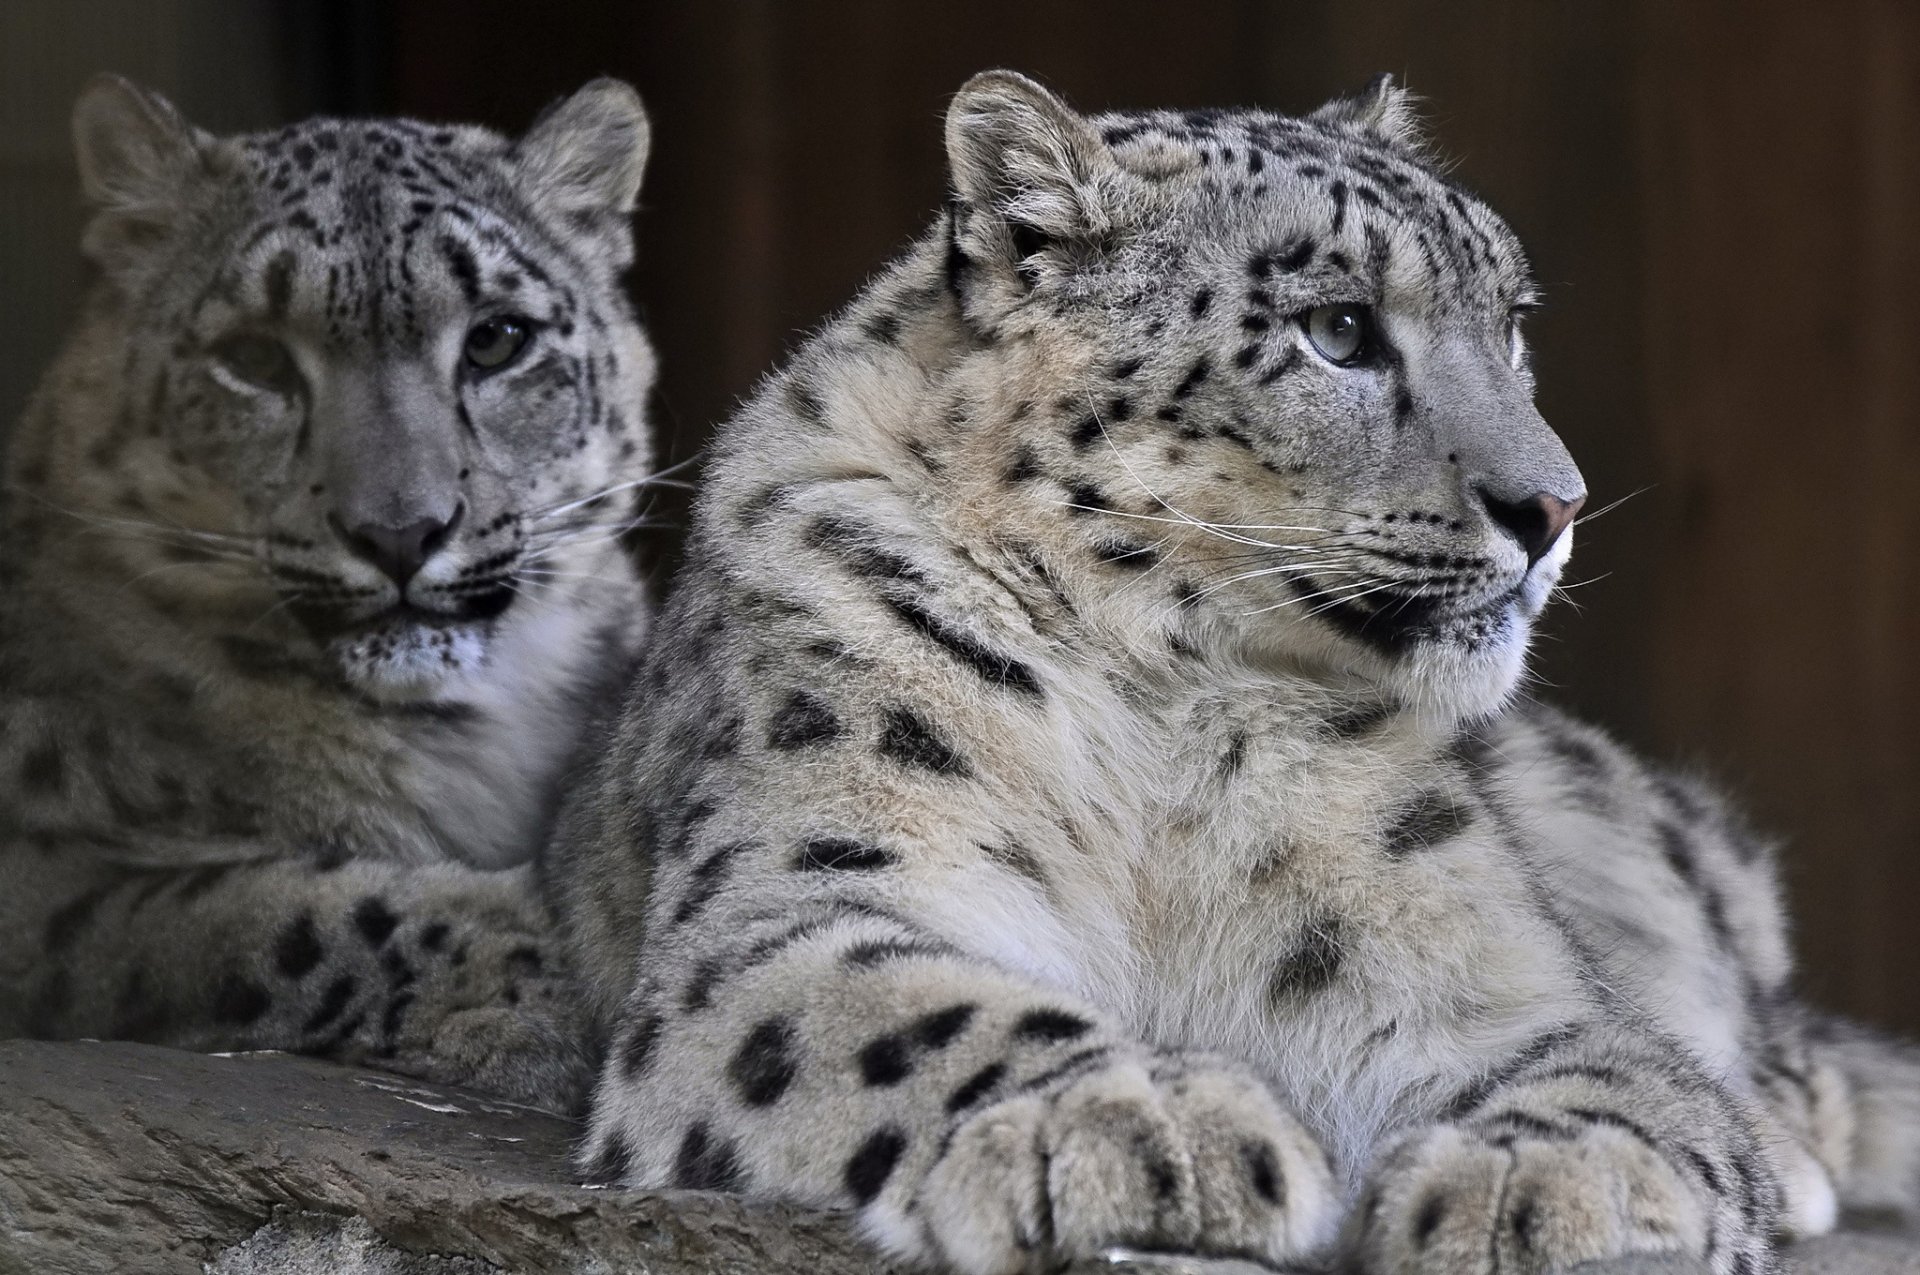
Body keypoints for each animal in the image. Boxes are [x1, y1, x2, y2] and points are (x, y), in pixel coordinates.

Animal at [0, 74, 662, 1113]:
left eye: (497, 338)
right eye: (255, 358)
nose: (401, 531)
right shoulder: (43, 881)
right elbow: (251, 915)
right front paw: (543, 988)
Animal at [545, 71, 1920, 1271]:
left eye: (1512, 324)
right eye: (1339, 329)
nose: (1555, 506)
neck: (1162, 718)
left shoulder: (1486, 973)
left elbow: (1612, 1074)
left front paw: (1544, 1183)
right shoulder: (796, 900)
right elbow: (915, 1013)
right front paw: (1143, 1118)